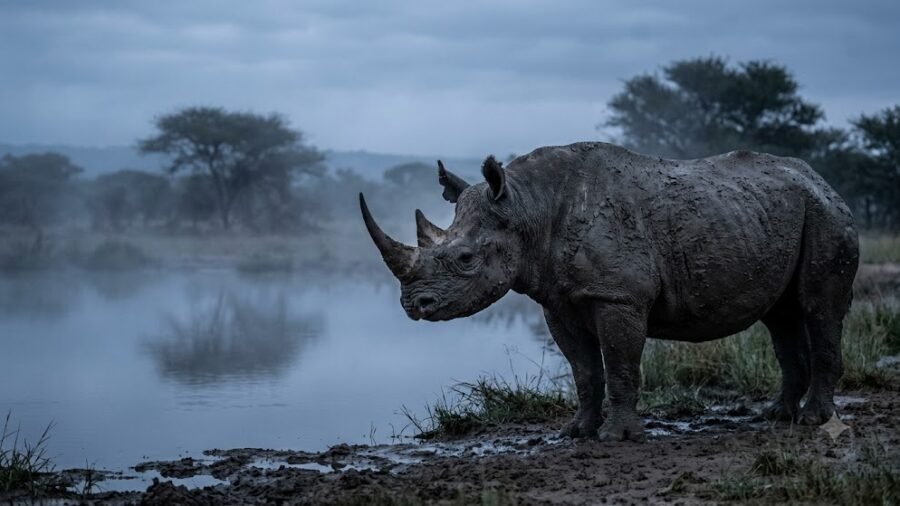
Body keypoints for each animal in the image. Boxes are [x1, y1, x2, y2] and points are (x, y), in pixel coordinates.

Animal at [359, 142, 859, 441]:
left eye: (465, 259)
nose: (413, 306)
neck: (527, 207)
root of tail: (823, 180)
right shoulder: (558, 300)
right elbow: (583, 369)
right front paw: (576, 431)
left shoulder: (618, 296)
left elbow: (619, 364)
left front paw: (617, 437)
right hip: (768, 214)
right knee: (781, 316)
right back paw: (775, 415)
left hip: (826, 215)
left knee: (818, 307)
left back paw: (812, 421)